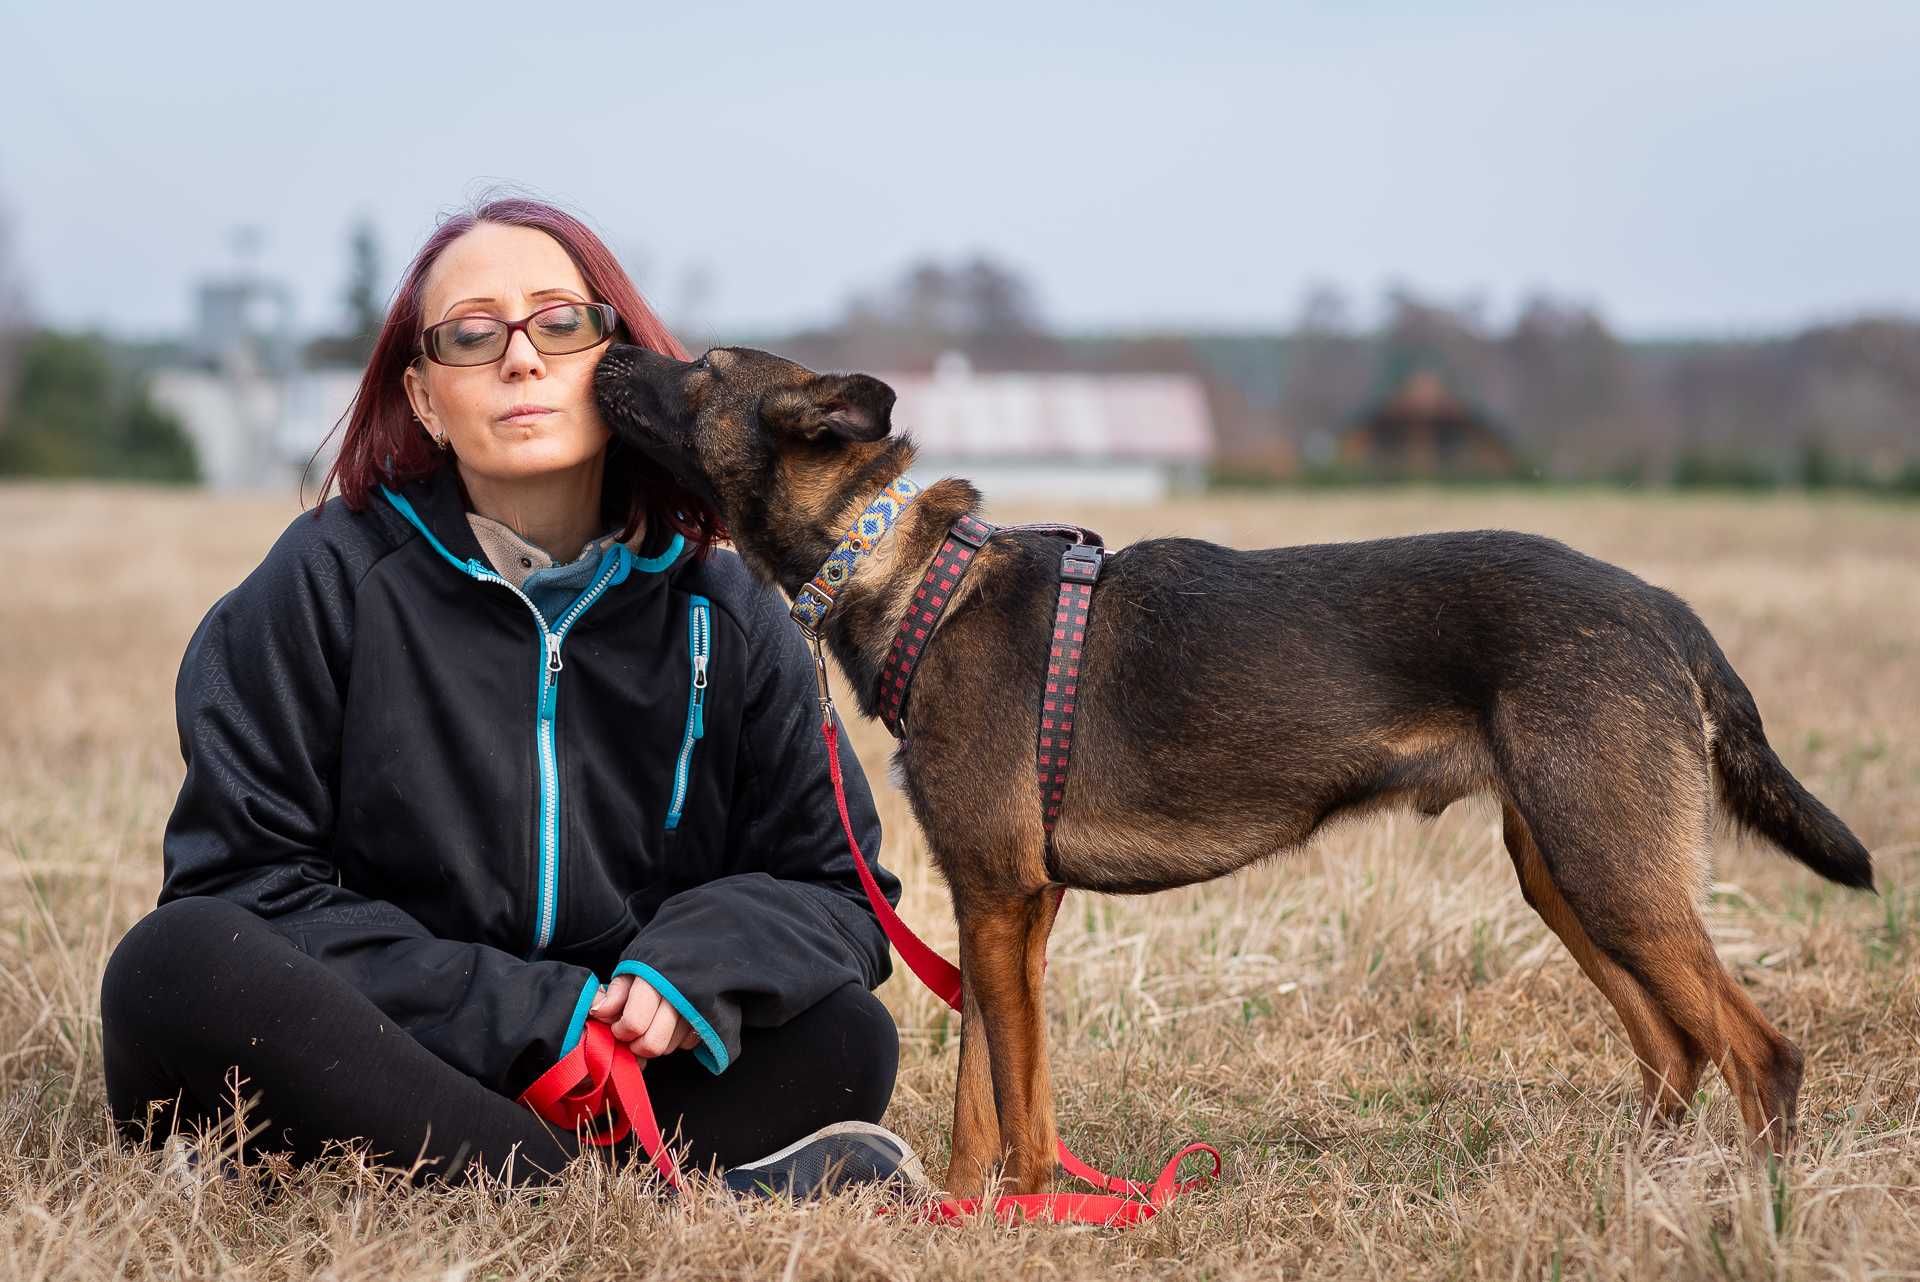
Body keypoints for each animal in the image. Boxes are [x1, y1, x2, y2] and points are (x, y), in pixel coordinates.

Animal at [595, 343, 1873, 1205]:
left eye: (700, 370)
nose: (601, 339)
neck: (911, 574)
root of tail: (1660, 606)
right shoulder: (1012, 908)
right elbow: (991, 1089)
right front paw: (962, 1212)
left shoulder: (1001, 898)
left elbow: (1009, 1104)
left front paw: (1015, 1218)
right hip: (1564, 867)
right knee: (1674, 1046)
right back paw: (1639, 1191)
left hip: (1610, 867)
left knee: (1759, 1053)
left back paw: (1754, 1208)